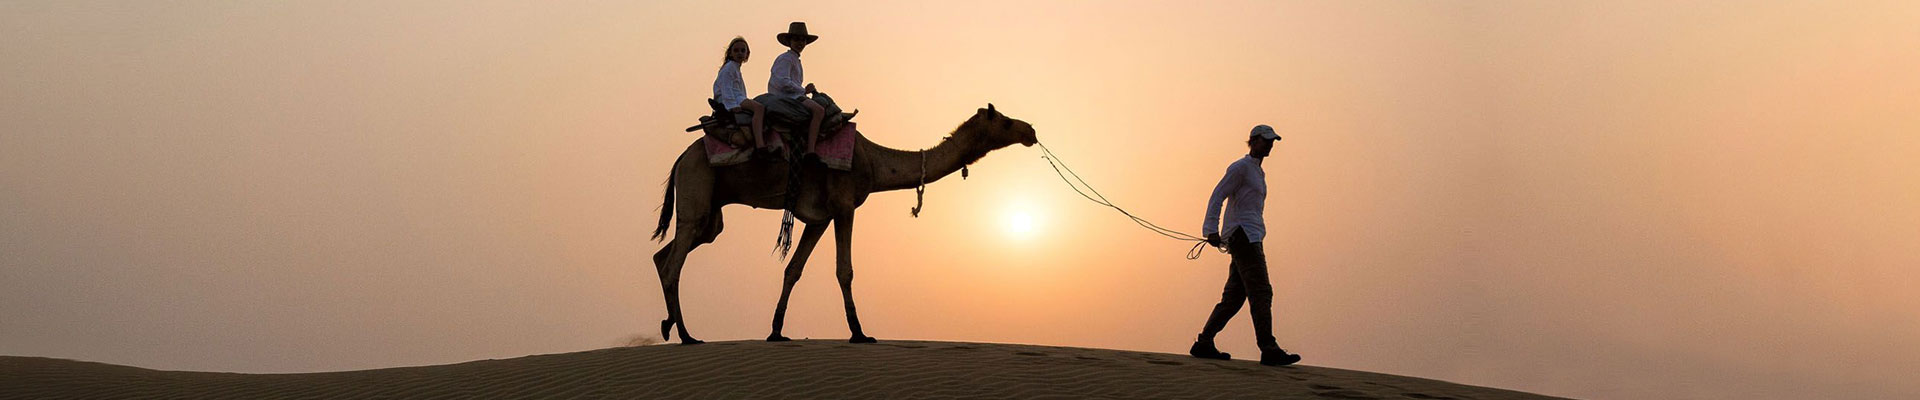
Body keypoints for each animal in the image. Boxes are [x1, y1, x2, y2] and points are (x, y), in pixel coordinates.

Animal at [648, 103, 1044, 344]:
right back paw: (686, 335)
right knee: (672, 264)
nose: (1030, 131)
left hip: (709, 214)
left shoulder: (819, 217)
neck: (874, 160)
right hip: (698, 188)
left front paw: (776, 331)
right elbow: (845, 270)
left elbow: (793, 269)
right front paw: (859, 333)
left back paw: (669, 326)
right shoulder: (844, 205)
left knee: (665, 254)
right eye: (1004, 120)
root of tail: (680, 159)